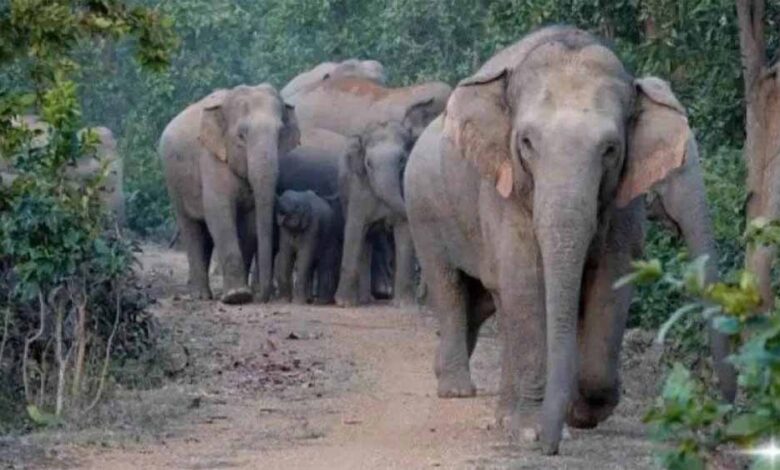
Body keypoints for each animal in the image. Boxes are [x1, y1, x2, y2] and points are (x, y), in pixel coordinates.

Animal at [160, 84, 299, 304]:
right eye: (241, 135)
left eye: (280, 133)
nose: (262, 297)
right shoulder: (211, 158)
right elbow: (219, 211)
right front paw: (237, 296)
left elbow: (249, 222)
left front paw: (243, 295)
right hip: (173, 181)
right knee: (191, 226)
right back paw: (200, 296)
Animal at [404, 26, 735, 455]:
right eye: (526, 142)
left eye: (610, 149)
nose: (552, 446)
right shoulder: (502, 186)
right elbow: (526, 278)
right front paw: (532, 431)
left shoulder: (622, 196)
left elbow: (611, 279)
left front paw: (579, 414)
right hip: (423, 208)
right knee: (449, 287)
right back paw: (458, 390)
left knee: (487, 300)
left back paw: (499, 411)